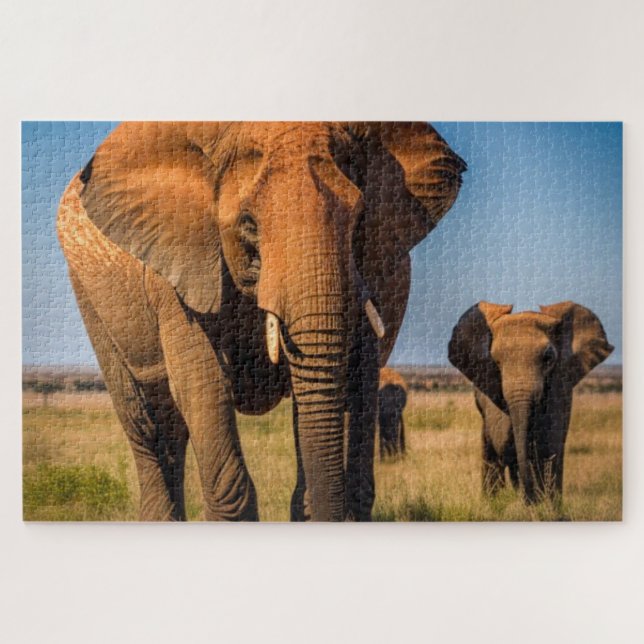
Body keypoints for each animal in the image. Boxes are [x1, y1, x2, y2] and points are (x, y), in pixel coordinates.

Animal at [57, 121, 465, 521]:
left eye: (359, 220)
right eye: (248, 225)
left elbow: (356, 377)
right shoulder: (176, 266)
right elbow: (202, 385)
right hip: (92, 299)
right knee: (148, 421)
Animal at [448, 301, 613, 504]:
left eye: (548, 359)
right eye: (496, 362)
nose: (530, 499)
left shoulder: (559, 384)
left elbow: (549, 444)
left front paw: (544, 504)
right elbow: (502, 440)